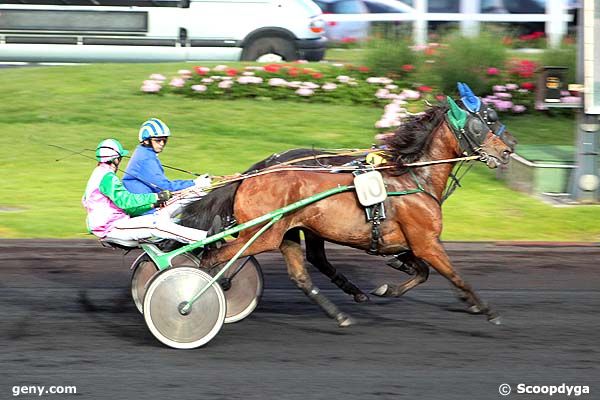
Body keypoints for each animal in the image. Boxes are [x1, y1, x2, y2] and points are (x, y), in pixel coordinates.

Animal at [178, 98, 516, 326]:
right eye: (482, 123)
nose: (508, 148)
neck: (414, 177)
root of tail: (252, 175)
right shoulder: (427, 242)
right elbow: (454, 275)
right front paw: (488, 310)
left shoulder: (411, 242)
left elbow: (420, 271)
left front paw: (388, 285)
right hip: (263, 234)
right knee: (213, 256)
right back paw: (197, 296)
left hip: (287, 232)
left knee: (302, 274)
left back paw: (341, 313)